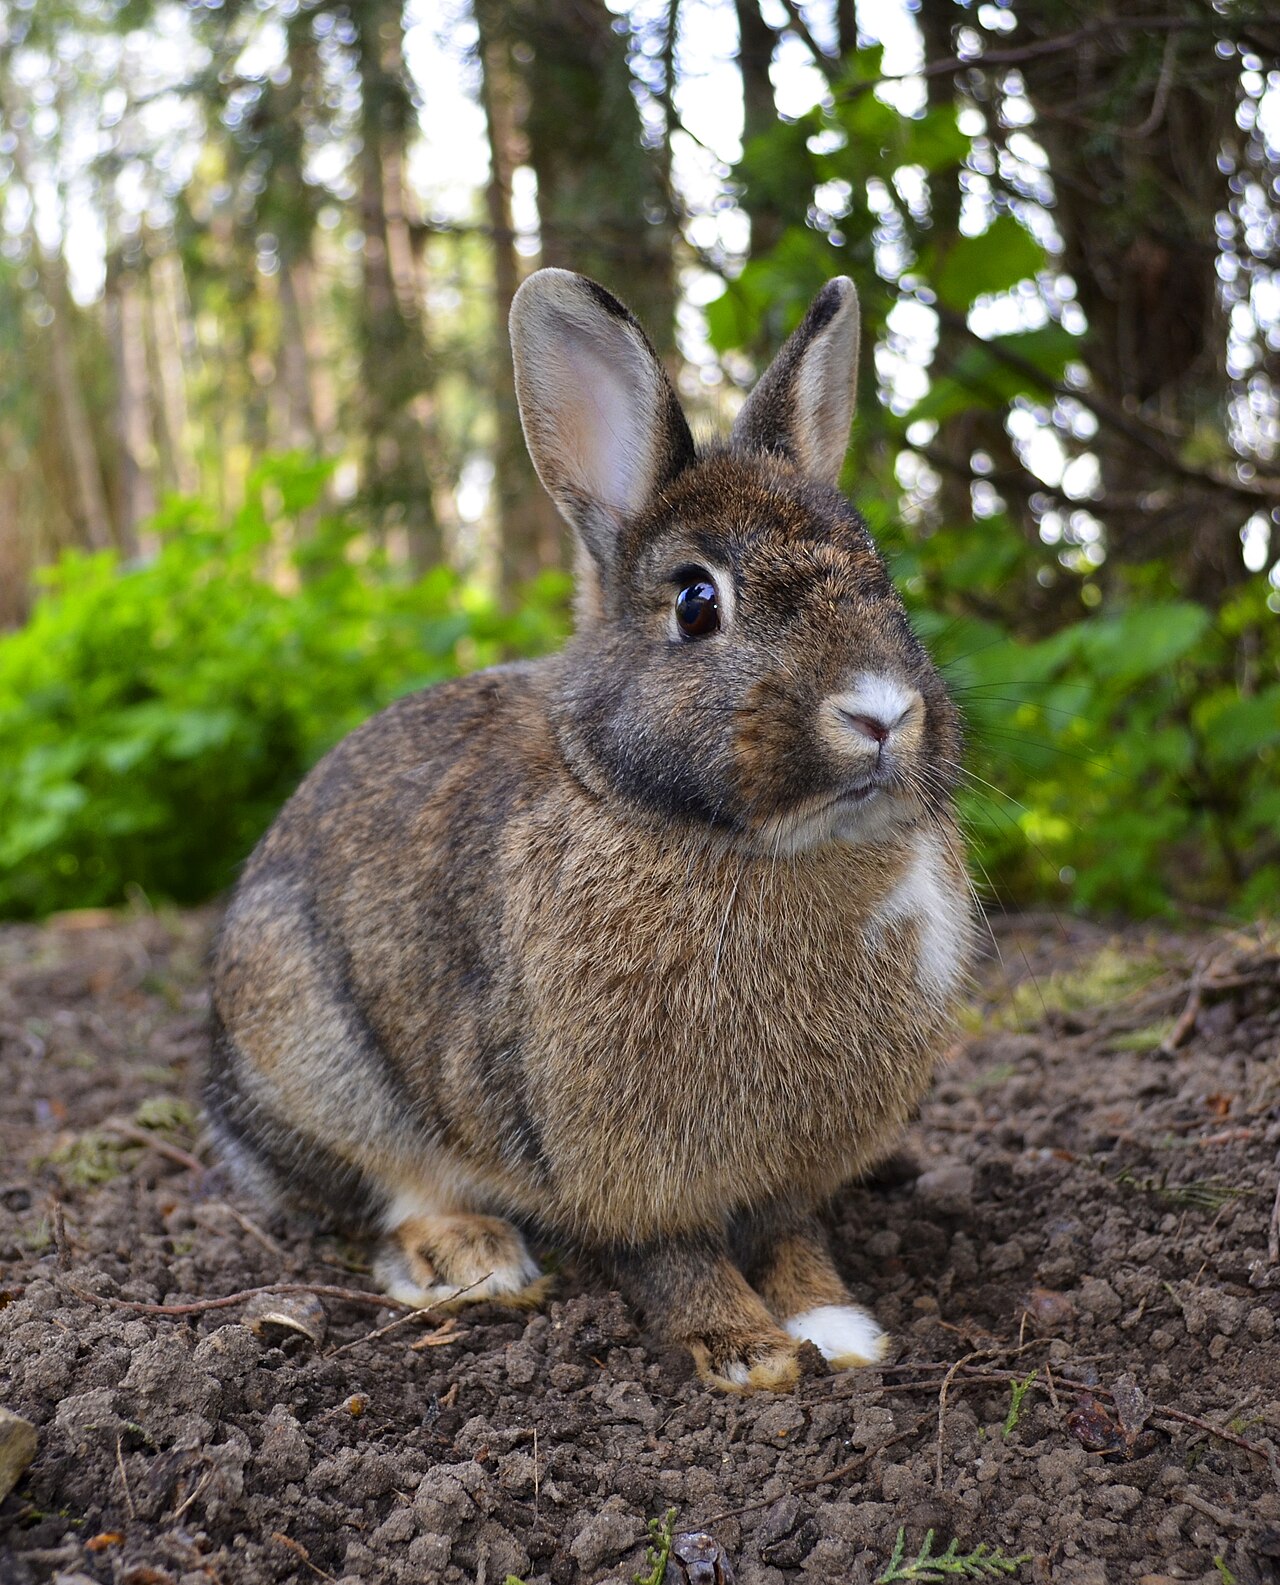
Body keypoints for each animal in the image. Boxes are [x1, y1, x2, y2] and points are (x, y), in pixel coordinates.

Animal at [206, 267, 976, 1391]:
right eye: (696, 602)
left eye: (884, 581)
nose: (879, 711)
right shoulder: (609, 1155)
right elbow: (671, 1253)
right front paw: (746, 1350)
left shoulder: (792, 1171)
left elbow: (790, 1236)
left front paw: (834, 1325)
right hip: (311, 1045)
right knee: (387, 1189)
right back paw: (472, 1257)